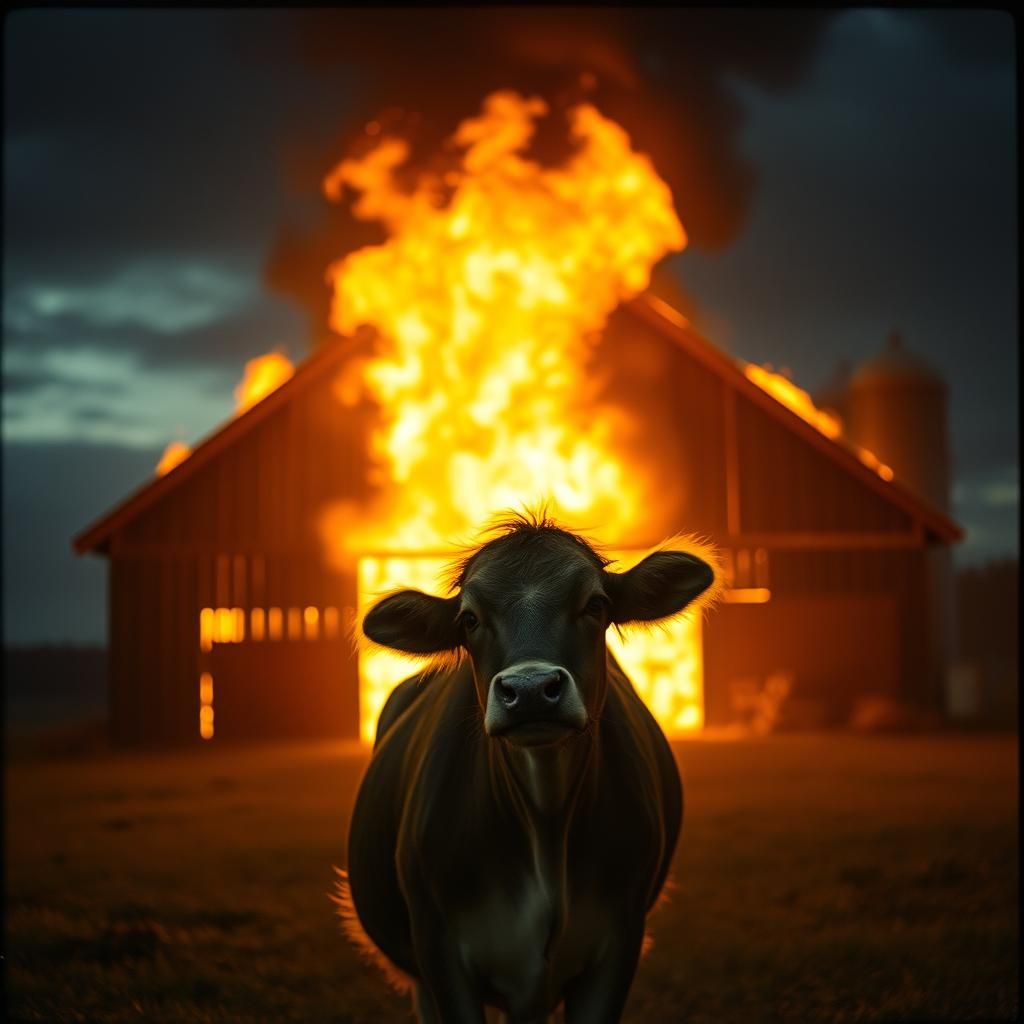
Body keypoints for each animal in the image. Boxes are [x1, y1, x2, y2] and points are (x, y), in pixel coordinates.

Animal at [339, 513, 718, 1023]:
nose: (532, 689)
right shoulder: (438, 947)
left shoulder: (620, 939)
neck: (546, 819)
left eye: (595, 603)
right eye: (469, 619)